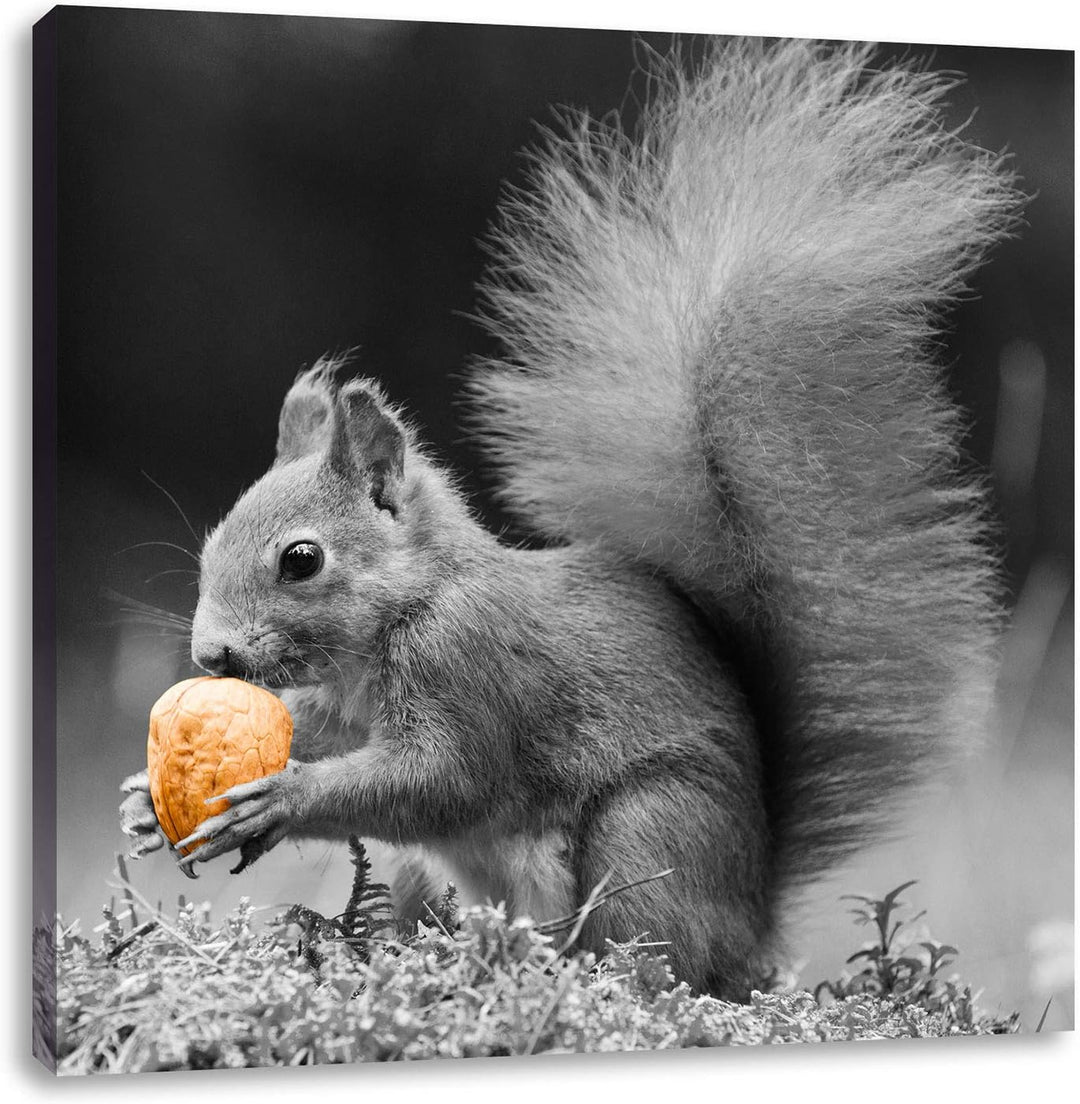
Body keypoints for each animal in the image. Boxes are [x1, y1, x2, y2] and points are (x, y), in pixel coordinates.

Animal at [119, 38, 1020, 997]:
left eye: (301, 560)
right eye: (212, 544)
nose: (211, 655)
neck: (409, 607)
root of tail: (751, 922)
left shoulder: (471, 667)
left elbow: (441, 781)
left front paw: (281, 799)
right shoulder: (340, 707)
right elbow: (330, 739)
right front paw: (142, 799)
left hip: (651, 834)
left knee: (646, 954)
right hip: (435, 876)